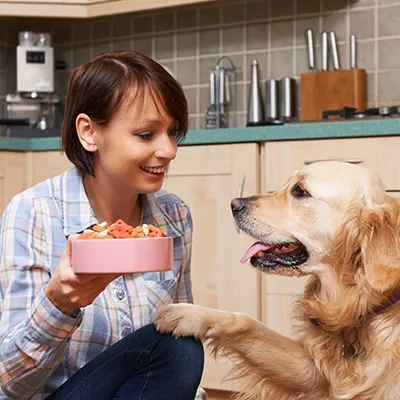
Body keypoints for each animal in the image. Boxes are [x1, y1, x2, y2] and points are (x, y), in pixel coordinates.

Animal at [155, 161, 400, 400]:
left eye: (300, 191)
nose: (234, 204)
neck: (359, 306)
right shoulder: (311, 374)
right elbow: (246, 322)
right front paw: (189, 314)